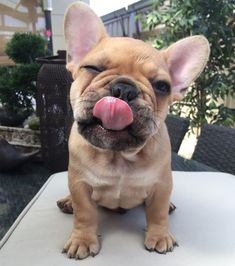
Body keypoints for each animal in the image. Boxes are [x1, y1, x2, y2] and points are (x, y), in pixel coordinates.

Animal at [57, 1, 211, 260]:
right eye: (92, 68)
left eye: (162, 86)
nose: (124, 88)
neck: (117, 155)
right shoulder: (79, 183)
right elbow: (85, 213)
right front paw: (82, 240)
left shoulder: (162, 184)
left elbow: (157, 212)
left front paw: (159, 235)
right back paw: (67, 202)